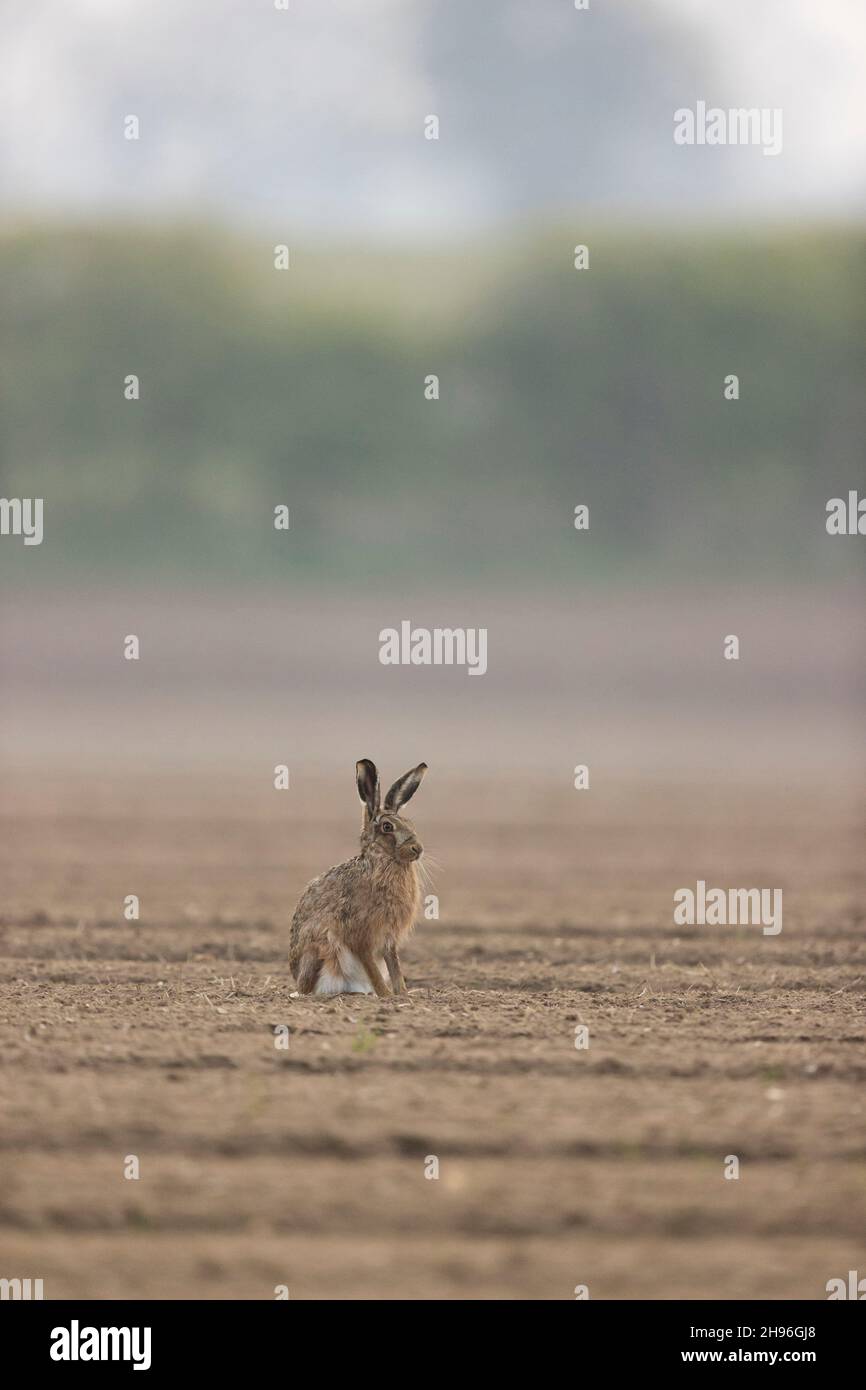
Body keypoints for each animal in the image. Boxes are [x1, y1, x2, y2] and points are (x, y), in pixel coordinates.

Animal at [290, 759, 427, 996]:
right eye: (387, 827)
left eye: (410, 823)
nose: (417, 849)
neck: (383, 861)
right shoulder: (360, 935)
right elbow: (370, 964)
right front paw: (386, 994)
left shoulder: (389, 939)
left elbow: (394, 965)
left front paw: (402, 993)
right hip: (320, 950)